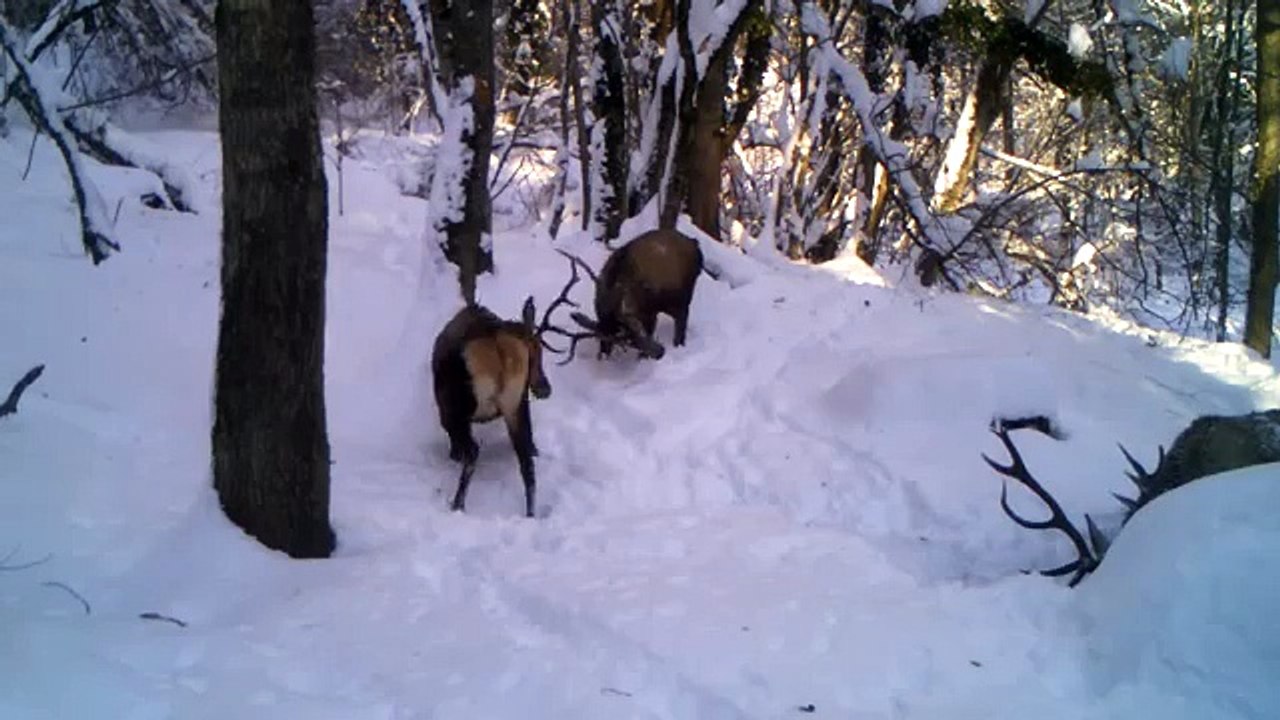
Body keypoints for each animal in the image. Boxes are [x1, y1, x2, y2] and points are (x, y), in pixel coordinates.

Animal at [430, 254, 589, 517]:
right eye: (536, 353)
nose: (544, 388)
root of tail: (499, 349)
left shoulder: (444, 406)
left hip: (459, 404)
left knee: (473, 452)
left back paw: (458, 504)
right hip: (516, 402)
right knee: (527, 459)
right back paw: (531, 513)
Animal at [552, 229, 705, 362]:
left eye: (622, 341)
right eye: (600, 337)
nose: (603, 356)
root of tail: (695, 243)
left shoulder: (675, 306)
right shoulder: (648, 314)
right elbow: (649, 333)